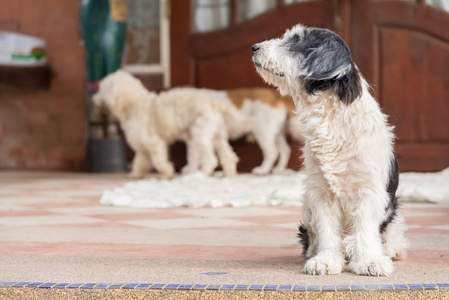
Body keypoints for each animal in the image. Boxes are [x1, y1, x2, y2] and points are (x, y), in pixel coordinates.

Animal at [250, 24, 408, 276]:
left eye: (296, 41)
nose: (254, 47)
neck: (330, 120)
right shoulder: (321, 193)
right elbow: (327, 231)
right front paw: (326, 260)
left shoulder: (368, 191)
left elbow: (365, 230)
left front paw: (370, 261)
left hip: (393, 210)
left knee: (393, 231)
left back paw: (391, 249)